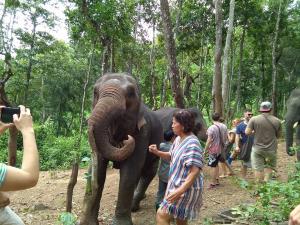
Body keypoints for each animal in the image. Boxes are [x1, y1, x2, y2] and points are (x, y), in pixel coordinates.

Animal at [81, 73, 163, 224]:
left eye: (130, 94)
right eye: (95, 92)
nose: (127, 140)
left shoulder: (143, 132)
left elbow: (129, 171)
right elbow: (100, 171)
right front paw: (90, 222)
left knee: (148, 172)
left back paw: (134, 207)